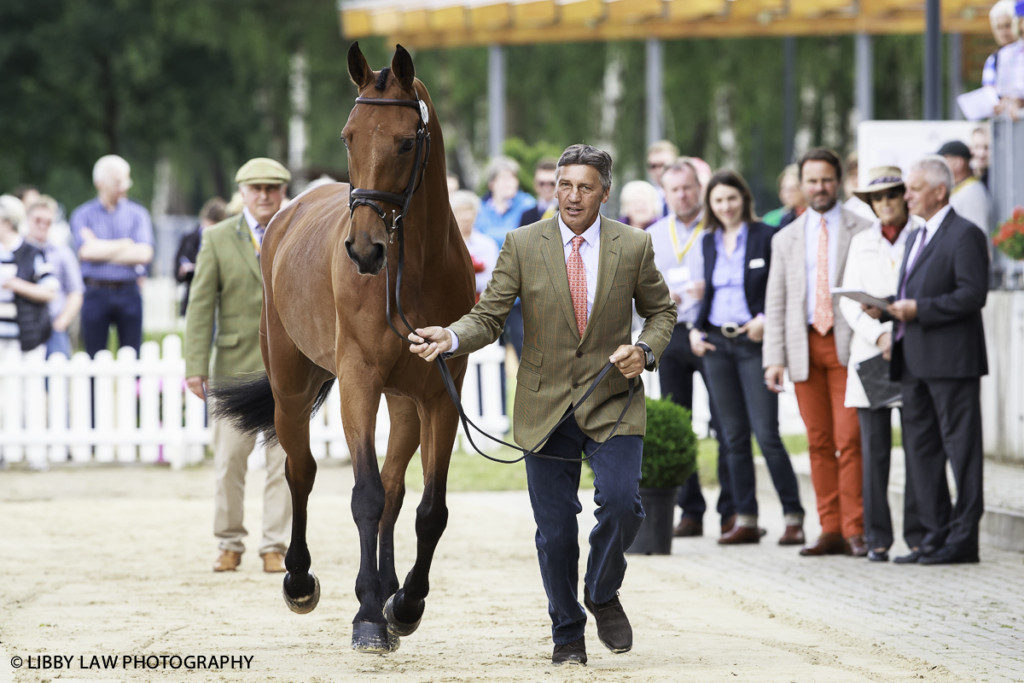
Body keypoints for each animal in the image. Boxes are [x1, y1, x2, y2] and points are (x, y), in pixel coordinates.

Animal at [215, 45, 475, 655]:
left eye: (405, 141)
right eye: (348, 136)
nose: (363, 249)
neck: (411, 270)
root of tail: (285, 215)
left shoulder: (441, 394)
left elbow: (428, 509)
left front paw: (404, 604)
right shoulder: (359, 380)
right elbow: (364, 496)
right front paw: (368, 615)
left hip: (404, 403)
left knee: (396, 487)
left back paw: (388, 589)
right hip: (290, 386)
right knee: (301, 470)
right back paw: (299, 579)